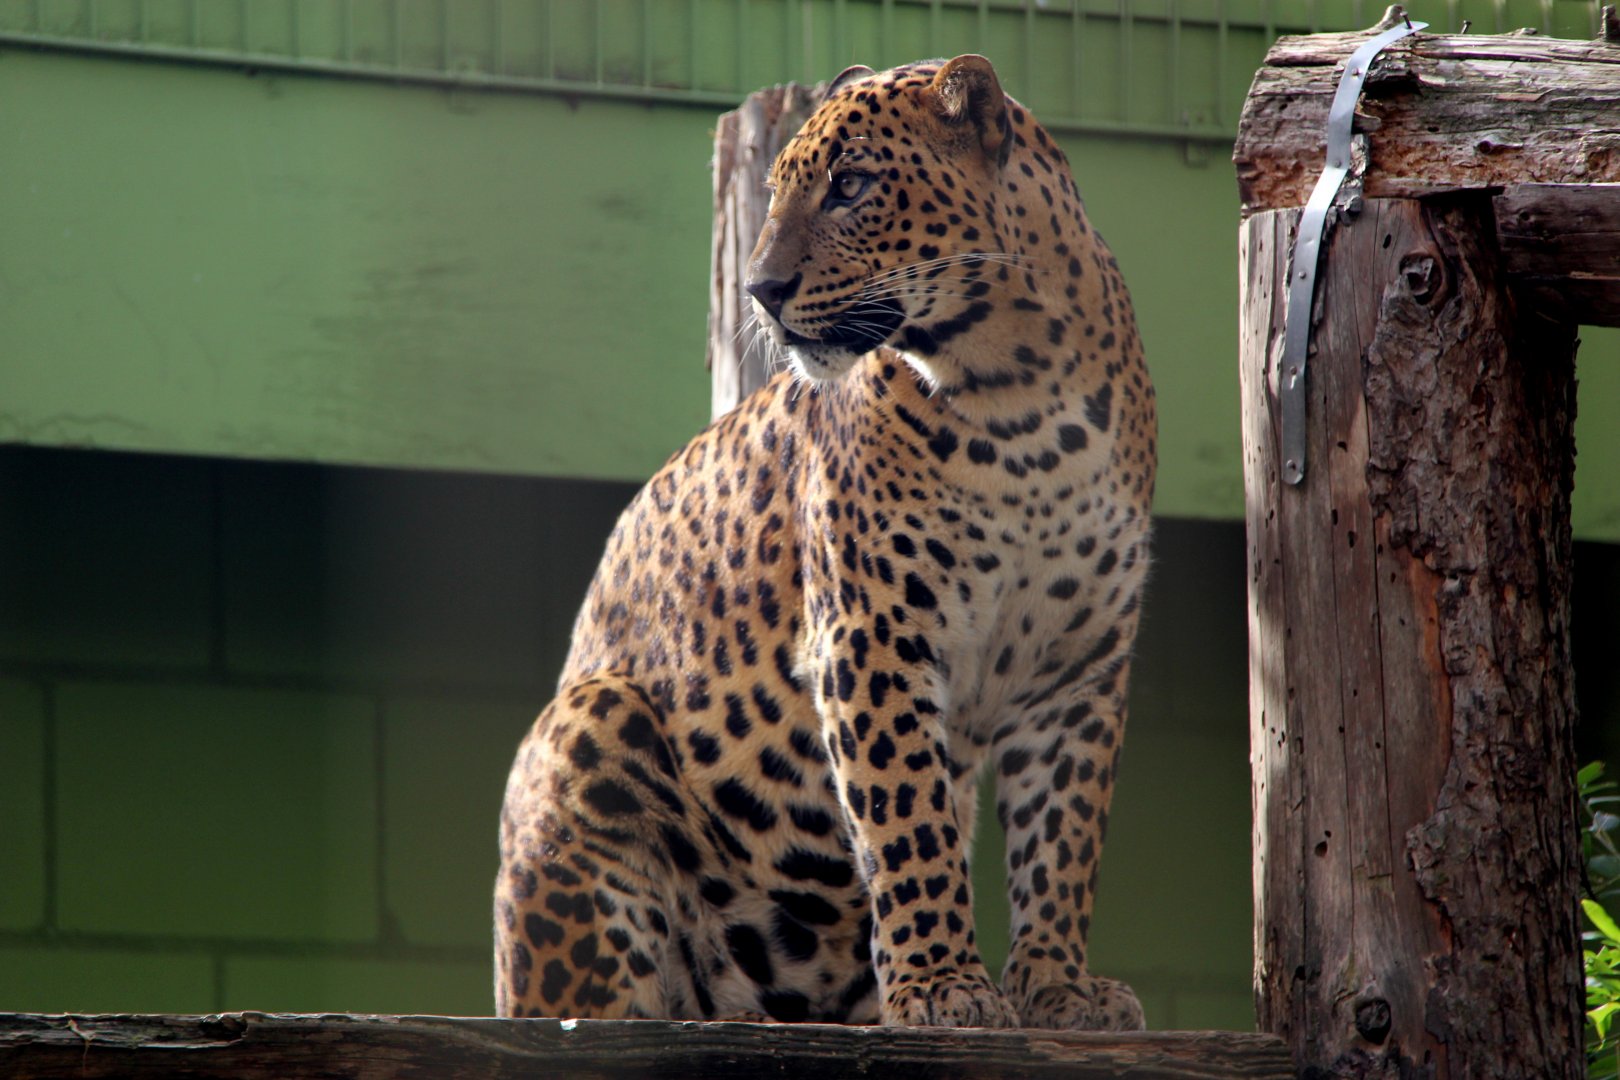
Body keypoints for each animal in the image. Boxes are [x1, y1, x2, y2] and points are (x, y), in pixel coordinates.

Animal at [494, 54, 1155, 1030]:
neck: (1019, 391)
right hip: (589, 725)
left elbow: (1063, 840)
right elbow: (909, 820)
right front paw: (943, 989)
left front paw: (1057, 987)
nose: (760, 291)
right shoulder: (871, 635)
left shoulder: (1077, 666)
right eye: (776, 194)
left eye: (850, 187)